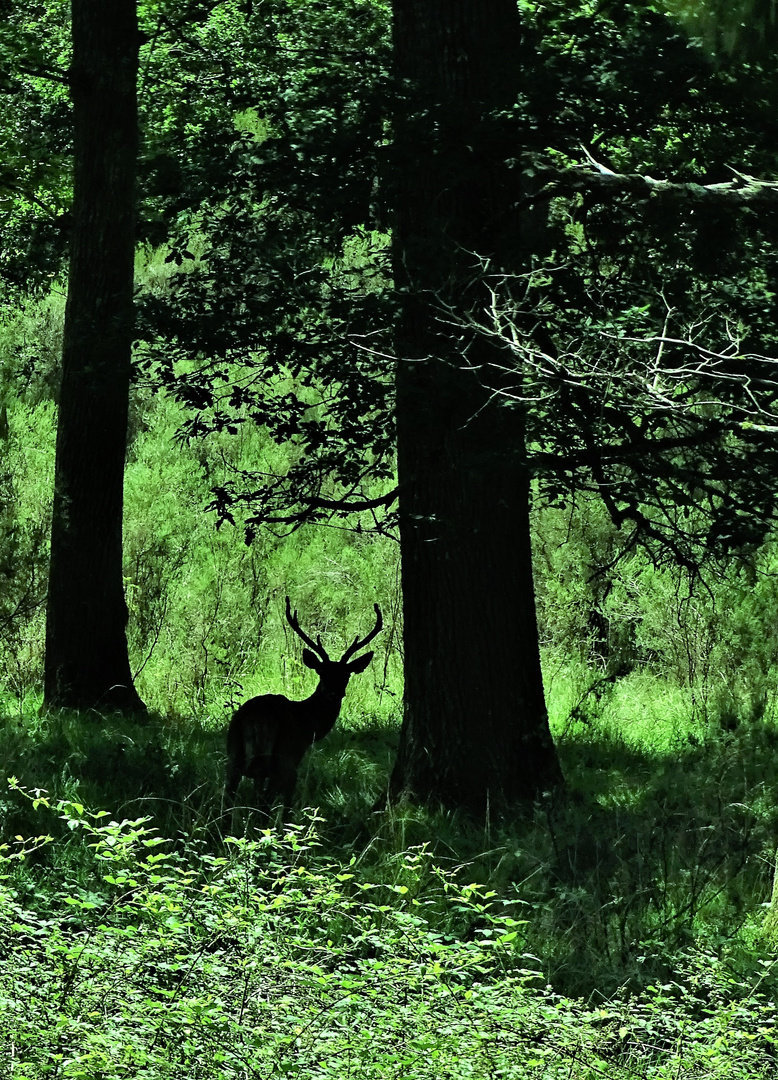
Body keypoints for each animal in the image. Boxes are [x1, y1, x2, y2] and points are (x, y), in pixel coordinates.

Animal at [221, 596, 382, 812]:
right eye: (322, 672)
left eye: (346, 675)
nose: (334, 693)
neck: (307, 725)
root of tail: (257, 718)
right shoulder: (294, 756)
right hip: (282, 761)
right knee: (272, 803)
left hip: (233, 753)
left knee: (230, 798)